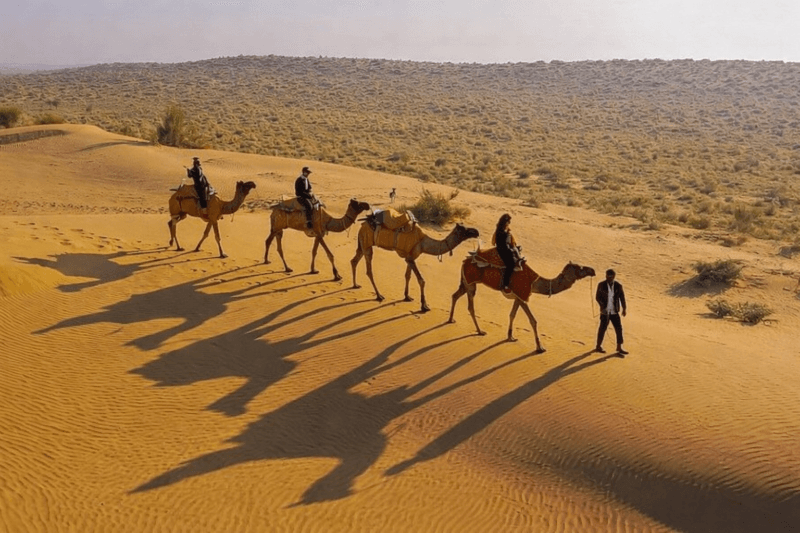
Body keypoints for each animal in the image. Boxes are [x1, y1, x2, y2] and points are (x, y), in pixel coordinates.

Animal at [350, 215, 480, 312]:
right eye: (463, 230)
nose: (476, 231)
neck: (423, 242)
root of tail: (362, 225)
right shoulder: (411, 258)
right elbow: (421, 280)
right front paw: (424, 306)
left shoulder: (409, 257)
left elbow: (408, 276)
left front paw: (407, 296)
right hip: (366, 243)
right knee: (369, 270)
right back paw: (379, 295)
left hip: (362, 243)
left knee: (354, 261)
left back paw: (355, 285)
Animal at [448, 247, 595, 352]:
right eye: (580, 268)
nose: (593, 270)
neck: (534, 282)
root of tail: (465, 261)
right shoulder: (523, 295)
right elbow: (533, 320)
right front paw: (540, 347)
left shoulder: (518, 296)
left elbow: (512, 314)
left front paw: (510, 337)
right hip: (471, 282)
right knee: (470, 306)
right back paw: (480, 331)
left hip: (466, 281)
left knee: (455, 295)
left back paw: (451, 319)